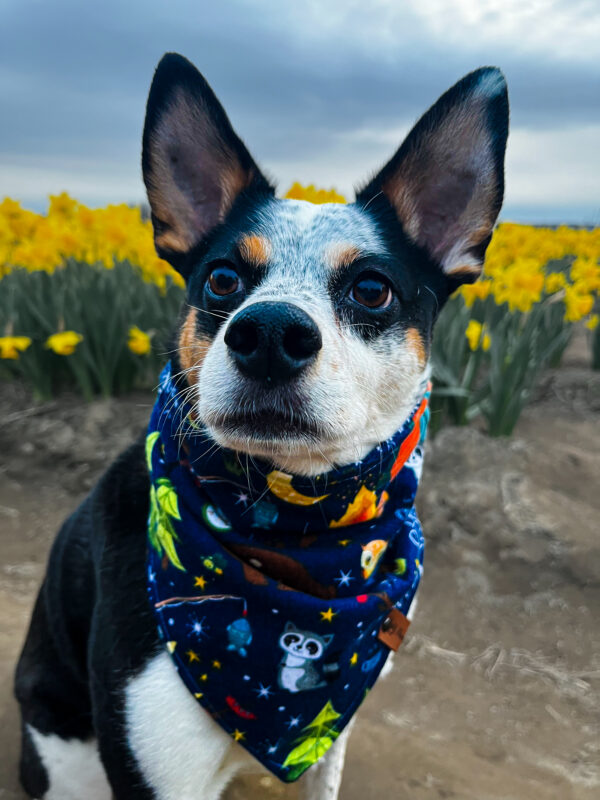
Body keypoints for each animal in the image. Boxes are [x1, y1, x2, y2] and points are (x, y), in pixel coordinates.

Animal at [14, 53, 506, 796]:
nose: (270, 333)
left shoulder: (330, 739)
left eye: (372, 288)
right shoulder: (156, 768)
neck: (293, 535)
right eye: (221, 278)